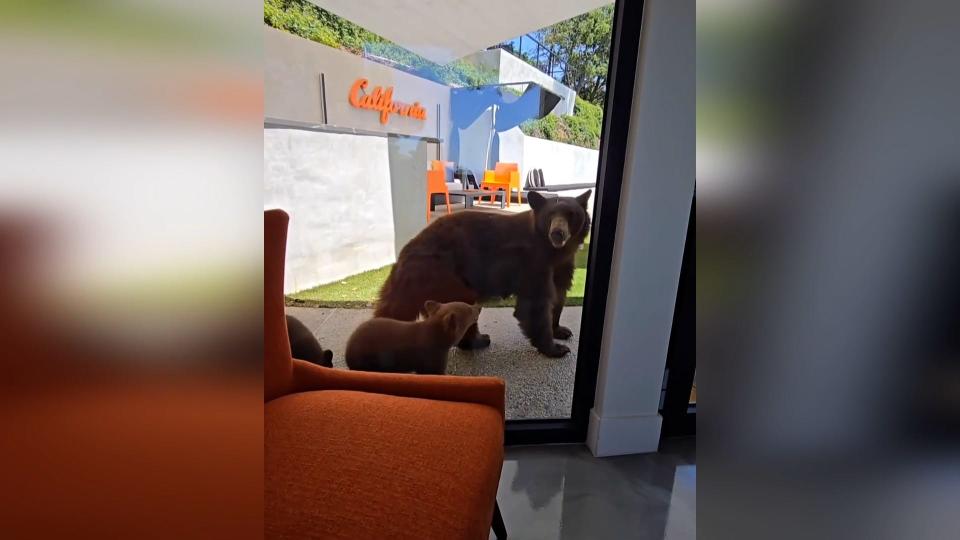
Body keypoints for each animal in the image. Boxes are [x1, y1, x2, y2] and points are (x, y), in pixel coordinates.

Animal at [376, 190, 592, 358]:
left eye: (571, 214)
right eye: (549, 215)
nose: (557, 233)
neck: (553, 251)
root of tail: (405, 252)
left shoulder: (563, 264)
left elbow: (559, 293)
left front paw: (560, 330)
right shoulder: (532, 261)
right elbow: (535, 303)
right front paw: (555, 349)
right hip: (444, 274)